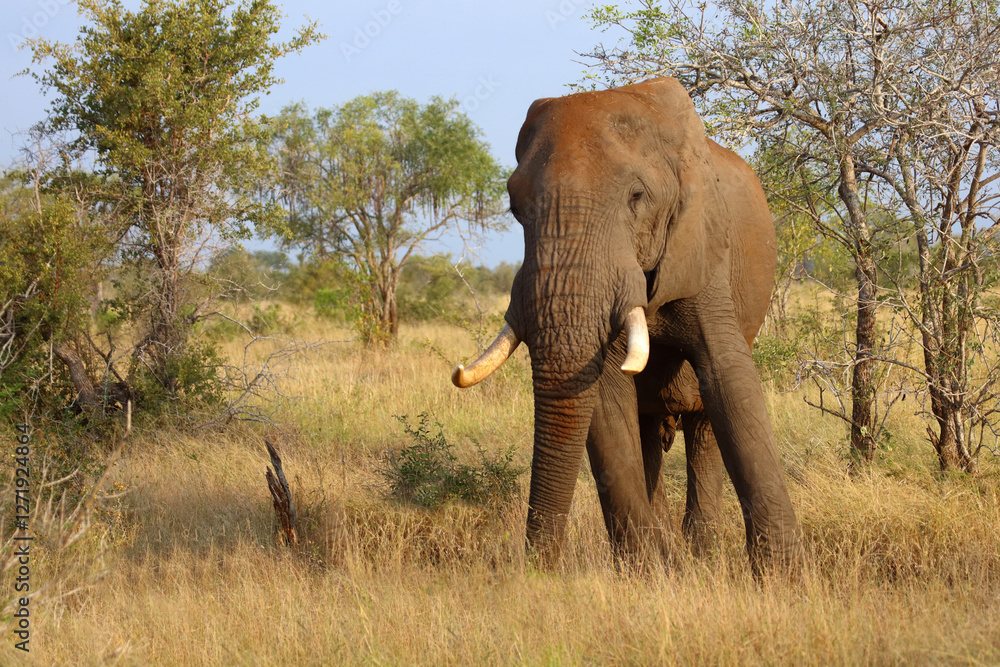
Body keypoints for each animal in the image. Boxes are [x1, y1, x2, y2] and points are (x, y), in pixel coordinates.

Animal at [452, 77, 801, 571]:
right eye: (515, 208)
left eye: (637, 198)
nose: (538, 568)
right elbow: (608, 396)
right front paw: (647, 570)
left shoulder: (700, 246)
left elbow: (729, 379)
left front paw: (782, 574)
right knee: (647, 429)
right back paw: (672, 551)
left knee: (704, 427)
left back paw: (700, 549)